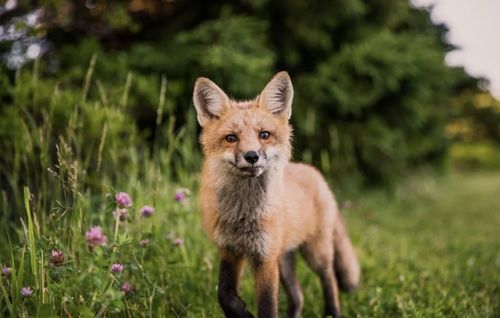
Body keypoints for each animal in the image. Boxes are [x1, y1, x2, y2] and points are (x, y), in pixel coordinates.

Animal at [193, 72, 362, 318]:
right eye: (231, 138)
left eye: (264, 135)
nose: (251, 156)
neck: (243, 214)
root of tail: (314, 173)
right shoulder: (230, 249)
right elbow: (224, 294)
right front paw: (242, 312)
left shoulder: (266, 257)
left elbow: (267, 306)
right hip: (284, 260)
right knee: (298, 297)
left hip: (315, 252)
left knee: (329, 278)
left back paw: (332, 312)